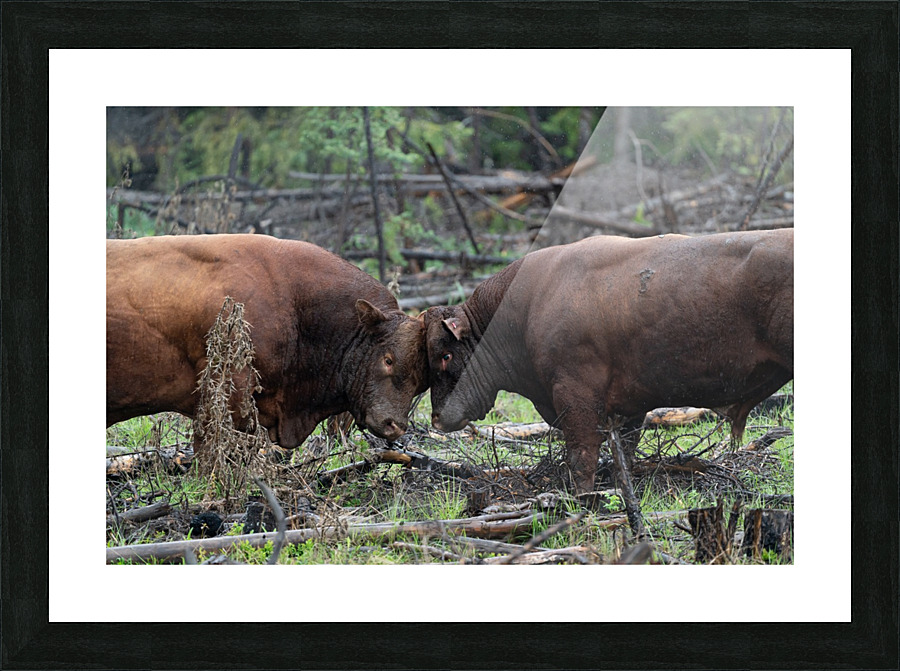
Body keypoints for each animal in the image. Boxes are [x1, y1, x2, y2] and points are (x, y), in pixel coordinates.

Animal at [424, 229, 793, 495]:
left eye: (445, 355)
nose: (437, 418)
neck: (526, 309)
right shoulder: (631, 405)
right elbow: (624, 455)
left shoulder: (575, 396)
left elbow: (581, 456)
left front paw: (583, 499)